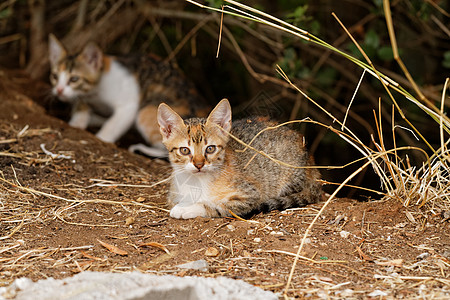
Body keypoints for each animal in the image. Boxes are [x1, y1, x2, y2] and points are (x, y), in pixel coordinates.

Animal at [46, 34, 208, 156]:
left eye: (74, 79)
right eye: (54, 76)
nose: (59, 90)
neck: (96, 91)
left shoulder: (128, 104)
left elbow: (113, 125)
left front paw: (101, 138)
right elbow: (81, 104)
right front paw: (78, 121)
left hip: (146, 111)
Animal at [156, 98, 322, 218]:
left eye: (210, 148)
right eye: (185, 150)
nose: (199, 164)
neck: (197, 182)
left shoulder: (251, 195)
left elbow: (215, 205)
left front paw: (187, 209)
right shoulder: (173, 196)